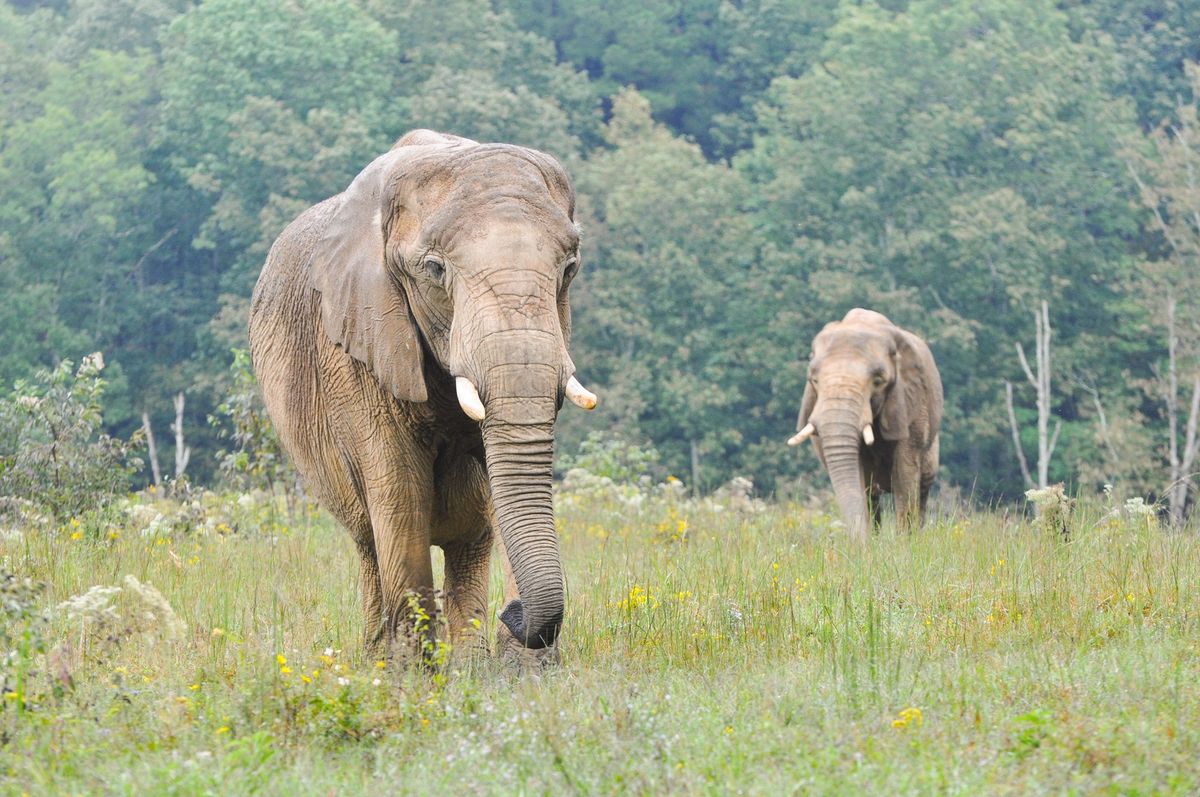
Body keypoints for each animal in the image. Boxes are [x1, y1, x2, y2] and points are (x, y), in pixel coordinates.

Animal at [248, 127, 595, 657]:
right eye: (435, 270)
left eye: (570, 268)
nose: (514, 613)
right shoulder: (356, 344)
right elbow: (397, 490)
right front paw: (416, 675)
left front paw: (522, 672)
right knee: (371, 541)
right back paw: (382, 662)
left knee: (471, 540)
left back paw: (469, 662)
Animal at [787, 307, 945, 544]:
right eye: (814, 380)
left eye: (878, 381)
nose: (858, 544)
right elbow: (859, 478)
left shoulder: (911, 402)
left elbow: (905, 473)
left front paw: (903, 546)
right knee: (873, 496)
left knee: (922, 488)